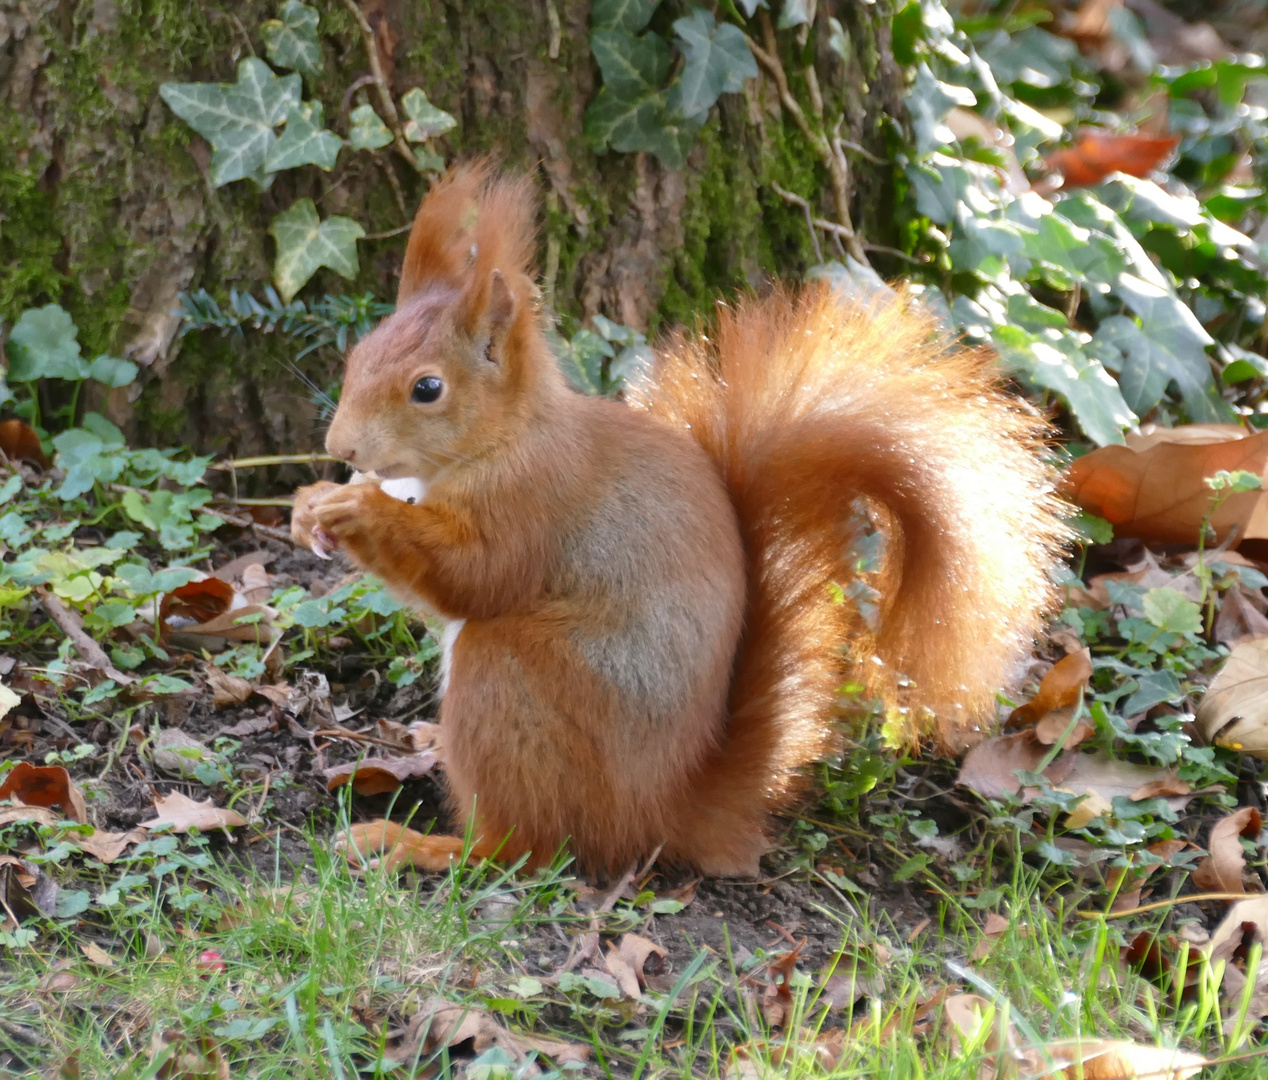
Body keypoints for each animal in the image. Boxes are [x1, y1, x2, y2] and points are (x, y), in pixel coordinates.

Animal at [291, 164, 1065, 882]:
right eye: (358, 355)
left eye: (428, 388)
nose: (340, 448)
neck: (503, 441)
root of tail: (662, 808)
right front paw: (308, 508)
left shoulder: (534, 503)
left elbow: (473, 578)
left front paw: (355, 508)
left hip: (513, 679)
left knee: (525, 850)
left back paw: (419, 844)